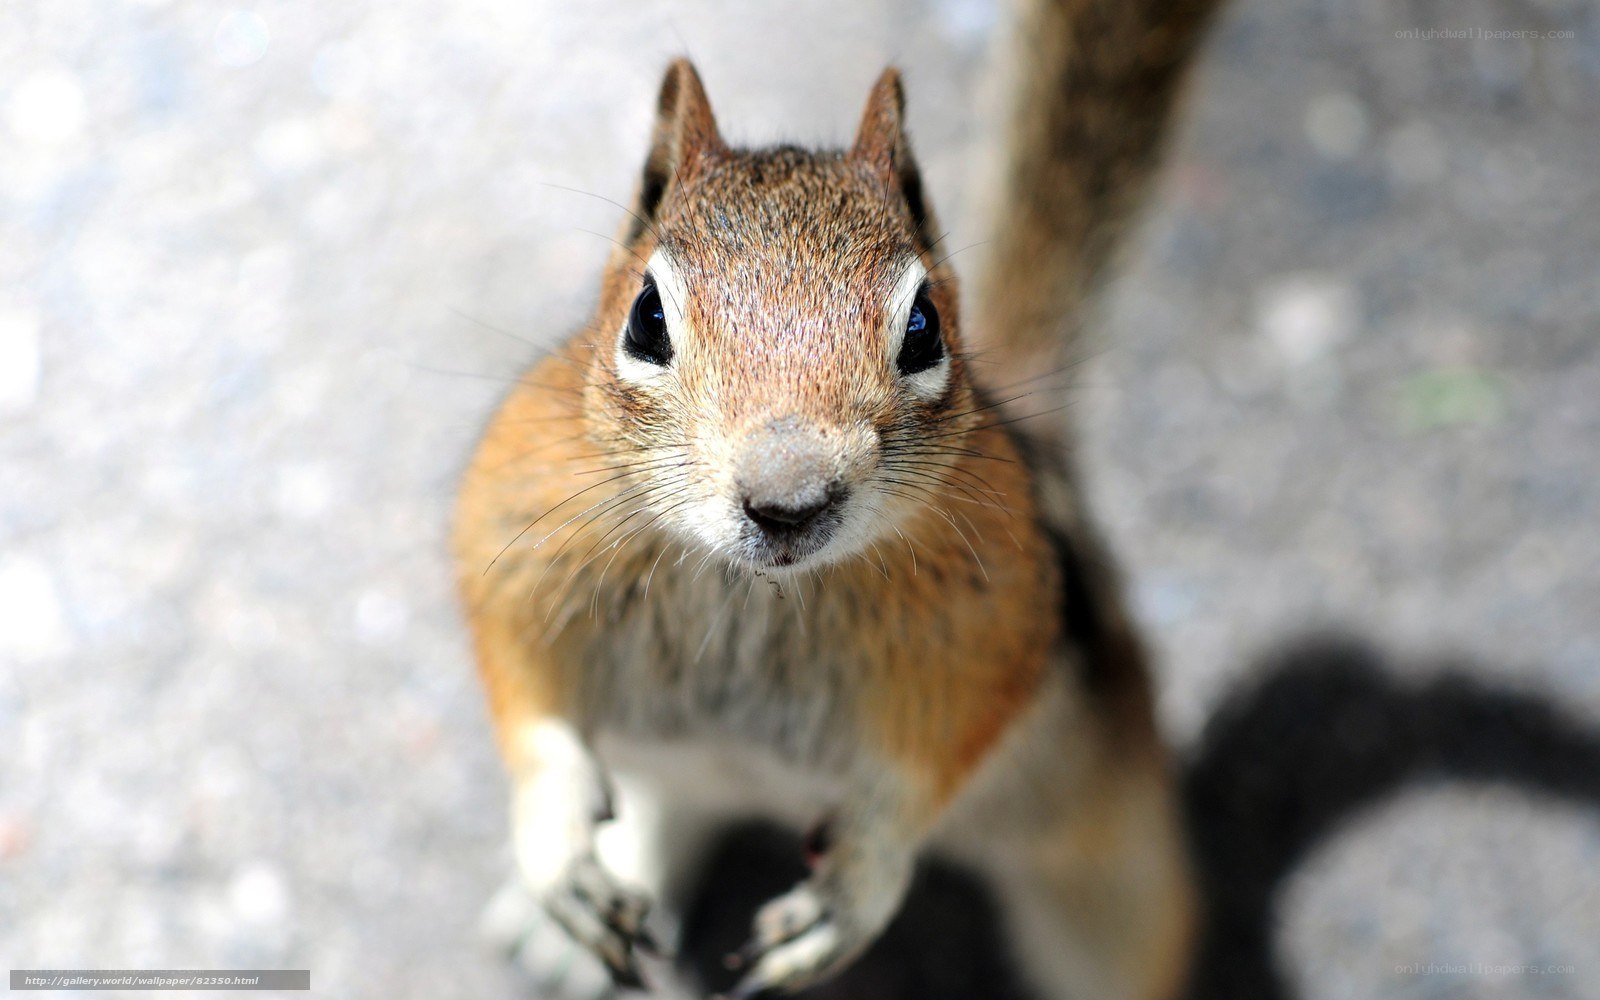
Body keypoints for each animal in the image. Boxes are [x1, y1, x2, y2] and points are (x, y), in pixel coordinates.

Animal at [453, 0, 1226, 996]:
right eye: (646, 319)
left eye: (924, 327)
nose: (788, 500)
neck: (754, 592)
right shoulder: (514, 536)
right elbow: (530, 710)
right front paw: (554, 849)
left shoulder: (993, 629)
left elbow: (924, 773)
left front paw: (854, 891)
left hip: (1111, 867)